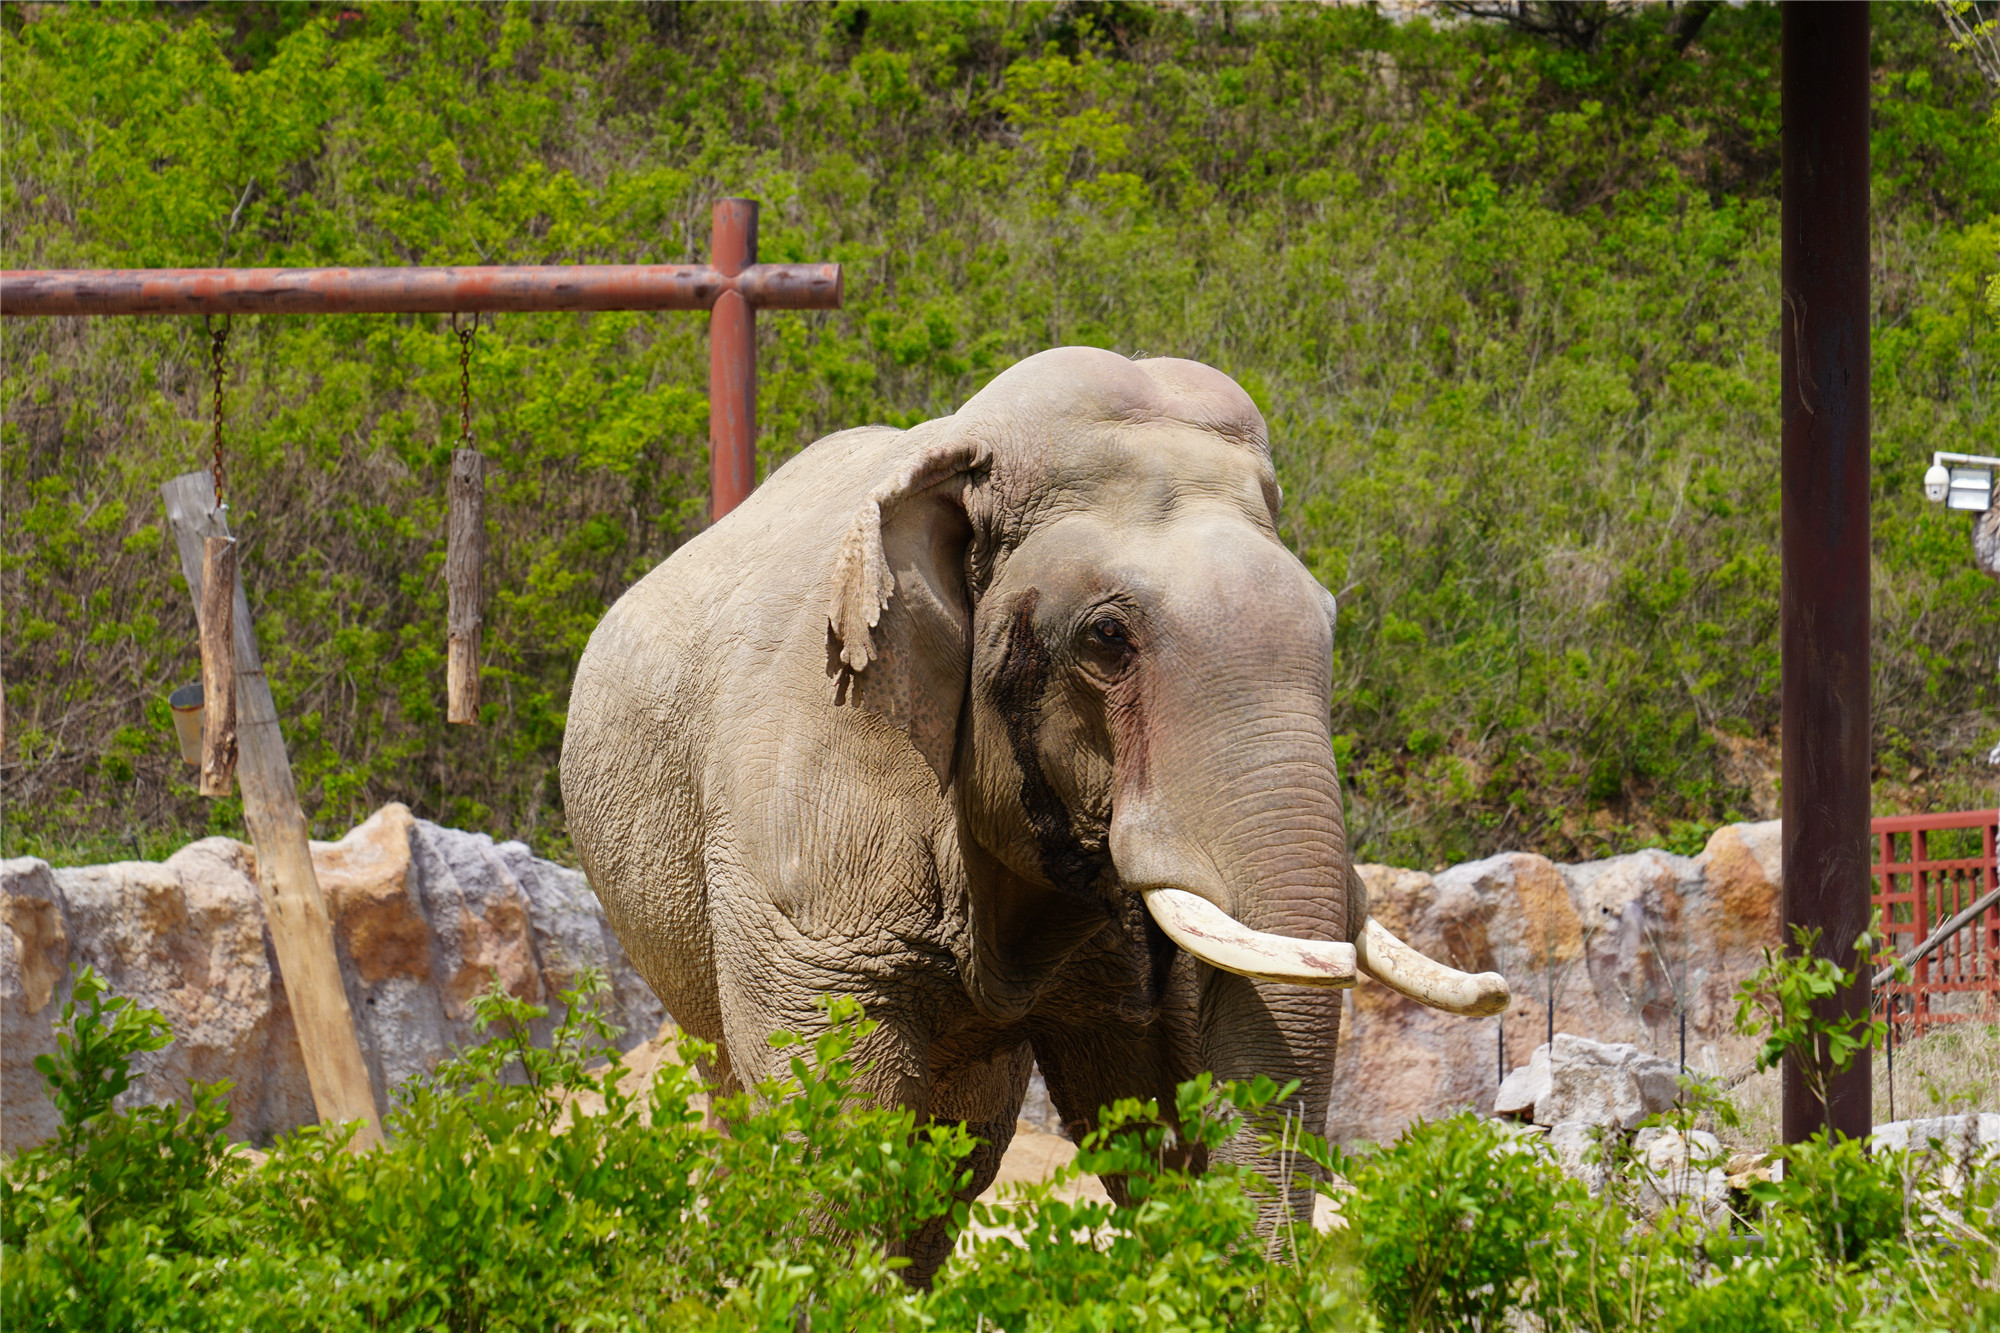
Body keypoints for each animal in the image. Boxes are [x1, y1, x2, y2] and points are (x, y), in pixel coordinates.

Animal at [564, 344, 1504, 1280]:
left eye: (1329, 618)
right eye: (1107, 639)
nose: (1499, 987)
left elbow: (1154, 1091)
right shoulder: (814, 764)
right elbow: (838, 1123)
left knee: (960, 1149)